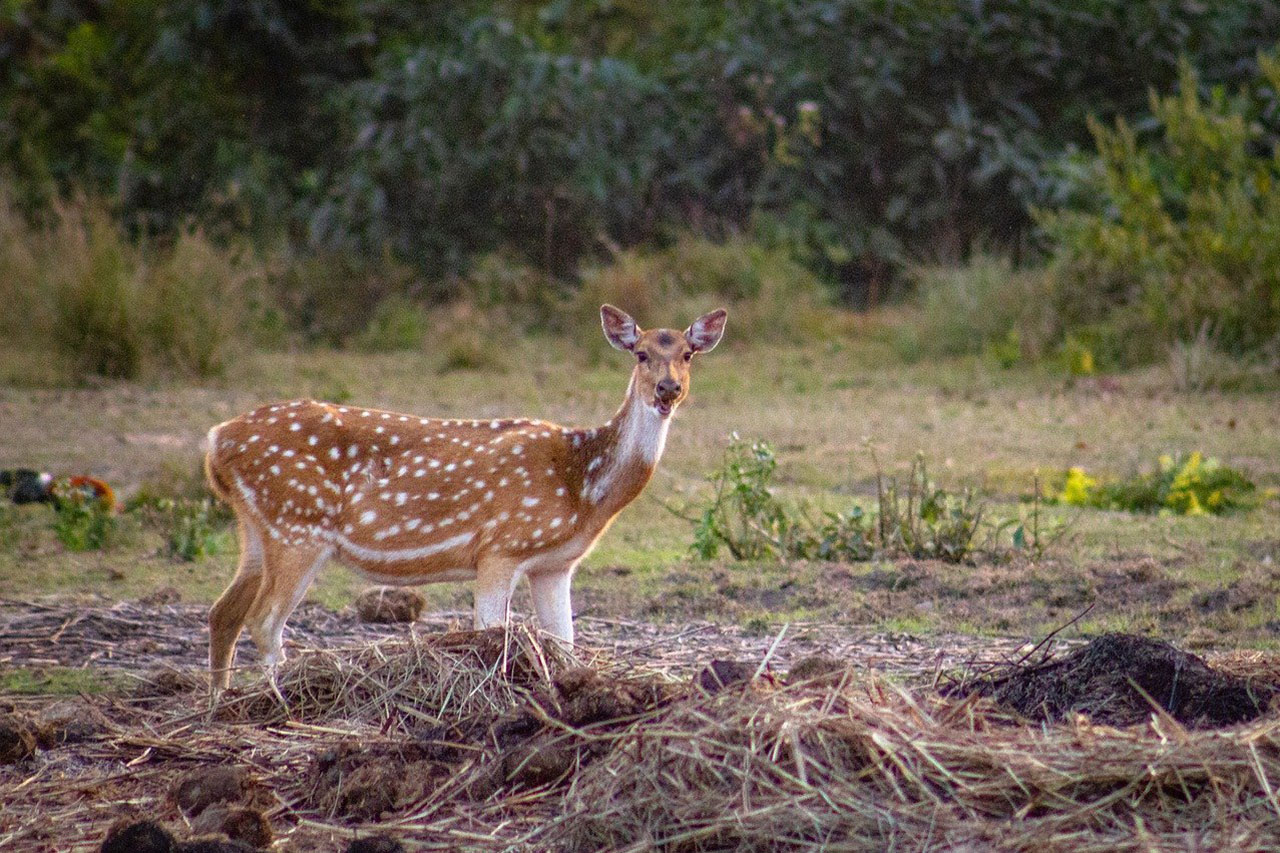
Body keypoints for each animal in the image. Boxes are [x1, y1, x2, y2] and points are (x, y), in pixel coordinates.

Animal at [199, 306, 721, 686]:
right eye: (641, 353)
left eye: (689, 353)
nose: (668, 389)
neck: (583, 488)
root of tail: (216, 440)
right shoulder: (500, 547)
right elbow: (493, 637)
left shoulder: (555, 565)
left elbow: (565, 644)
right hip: (297, 526)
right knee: (263, 621)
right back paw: (277, 703)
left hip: (258, 528)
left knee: (223, 613)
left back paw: (218, 707)